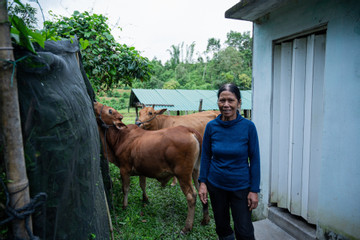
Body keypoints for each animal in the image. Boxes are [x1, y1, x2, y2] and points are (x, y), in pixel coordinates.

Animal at [94, 102, 210, 233]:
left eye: (110, 110)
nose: (94, 102)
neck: (120, 136)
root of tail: (191, 131)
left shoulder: (124, 169)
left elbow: (125, 188)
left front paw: (125, 206)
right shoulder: (141, 169)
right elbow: (142, 185)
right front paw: (145, 199)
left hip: (183, 174)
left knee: (191, 196)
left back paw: (187, 227)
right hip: (196, 170)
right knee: (202, 191)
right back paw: (205, 219)